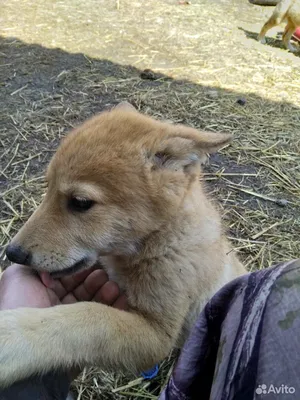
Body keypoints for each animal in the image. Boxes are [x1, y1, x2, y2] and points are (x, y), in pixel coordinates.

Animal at [1, 104, 246, 388]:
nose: (12, 253)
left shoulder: (157, 335)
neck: (159, 240)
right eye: (47, 187)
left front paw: (10, 336)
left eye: (80, 202)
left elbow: (88, 317)